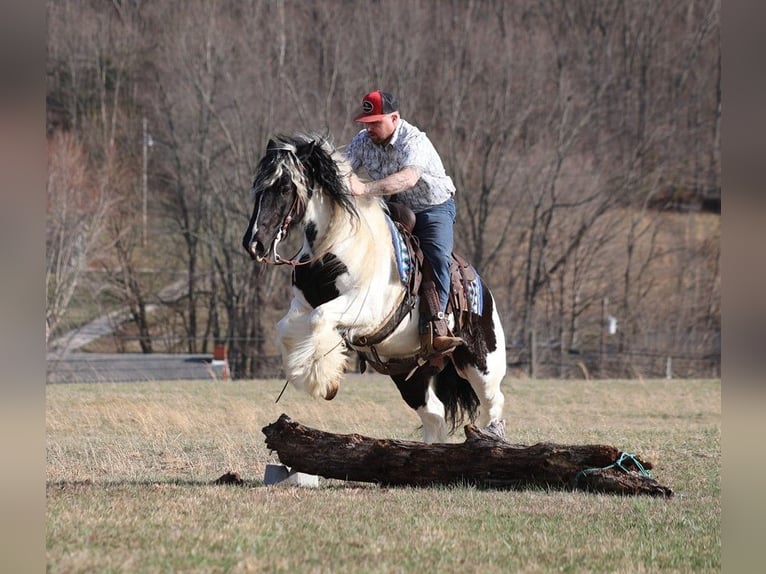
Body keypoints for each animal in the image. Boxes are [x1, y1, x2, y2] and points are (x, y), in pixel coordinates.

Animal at [244, 134, 510, 446]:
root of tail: (483, 291)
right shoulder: (301, 304)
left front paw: (324, 379)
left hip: (481, 364)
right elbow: (286, 328)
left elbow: (320, 317)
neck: (337, 245)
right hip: (409, 374)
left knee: (493, 404)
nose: (253, 244)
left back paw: (489, 438)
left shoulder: (365, 309)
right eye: (258, 186)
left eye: (285, 187)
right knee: (434, 414)